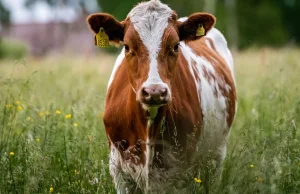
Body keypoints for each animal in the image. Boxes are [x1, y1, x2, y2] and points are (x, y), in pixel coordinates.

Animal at [86, 0, 237, 192]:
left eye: (175, 46)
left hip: (217, 154)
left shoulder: (184, 172)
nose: (155, 91)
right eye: (127, 46)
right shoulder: (118, 170)